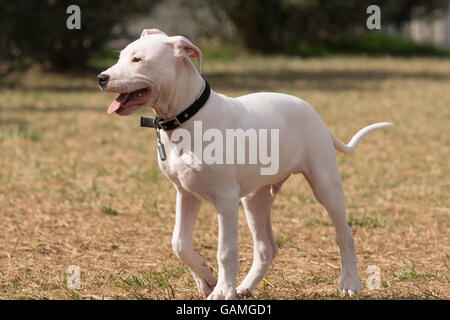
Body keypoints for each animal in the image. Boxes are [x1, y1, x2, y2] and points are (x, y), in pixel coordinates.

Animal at [97, 28, 390, 298]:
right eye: (120, 56)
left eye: (137, 60)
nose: (101, 78)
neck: (187, 117)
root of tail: (312, 111)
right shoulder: (185, 194)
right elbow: (179, 243)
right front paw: (206, 278)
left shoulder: (225, 199)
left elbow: (226, 250)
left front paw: (221, 290)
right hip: (255, 199)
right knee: (266, 248)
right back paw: (245, 287)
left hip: (325, 184)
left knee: (344, 234)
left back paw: (350, 283)